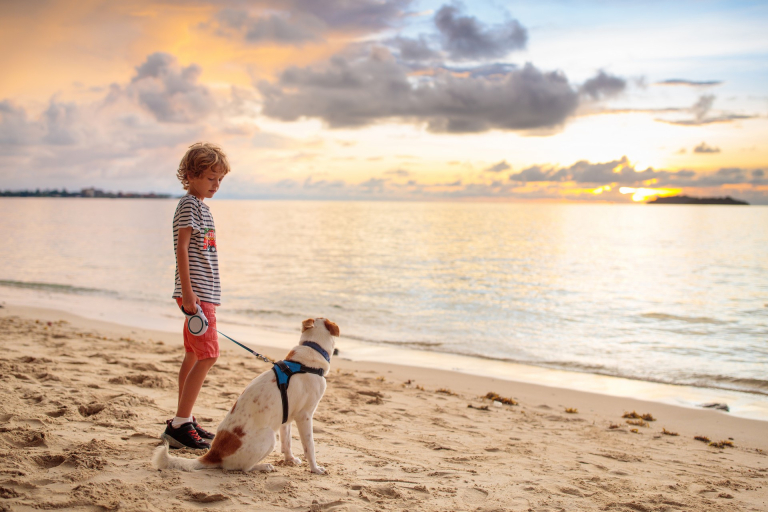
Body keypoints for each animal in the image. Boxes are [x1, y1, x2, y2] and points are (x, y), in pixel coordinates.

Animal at [153, 318, 340, 474]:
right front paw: (315, 469)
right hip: (269, 437)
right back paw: (263, 466)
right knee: (242, 468)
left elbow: (287, 443)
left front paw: (290, 460)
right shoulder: (305, 416)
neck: (307, 359)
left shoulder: (286, 417)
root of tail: (214, 454)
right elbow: (310, 446)